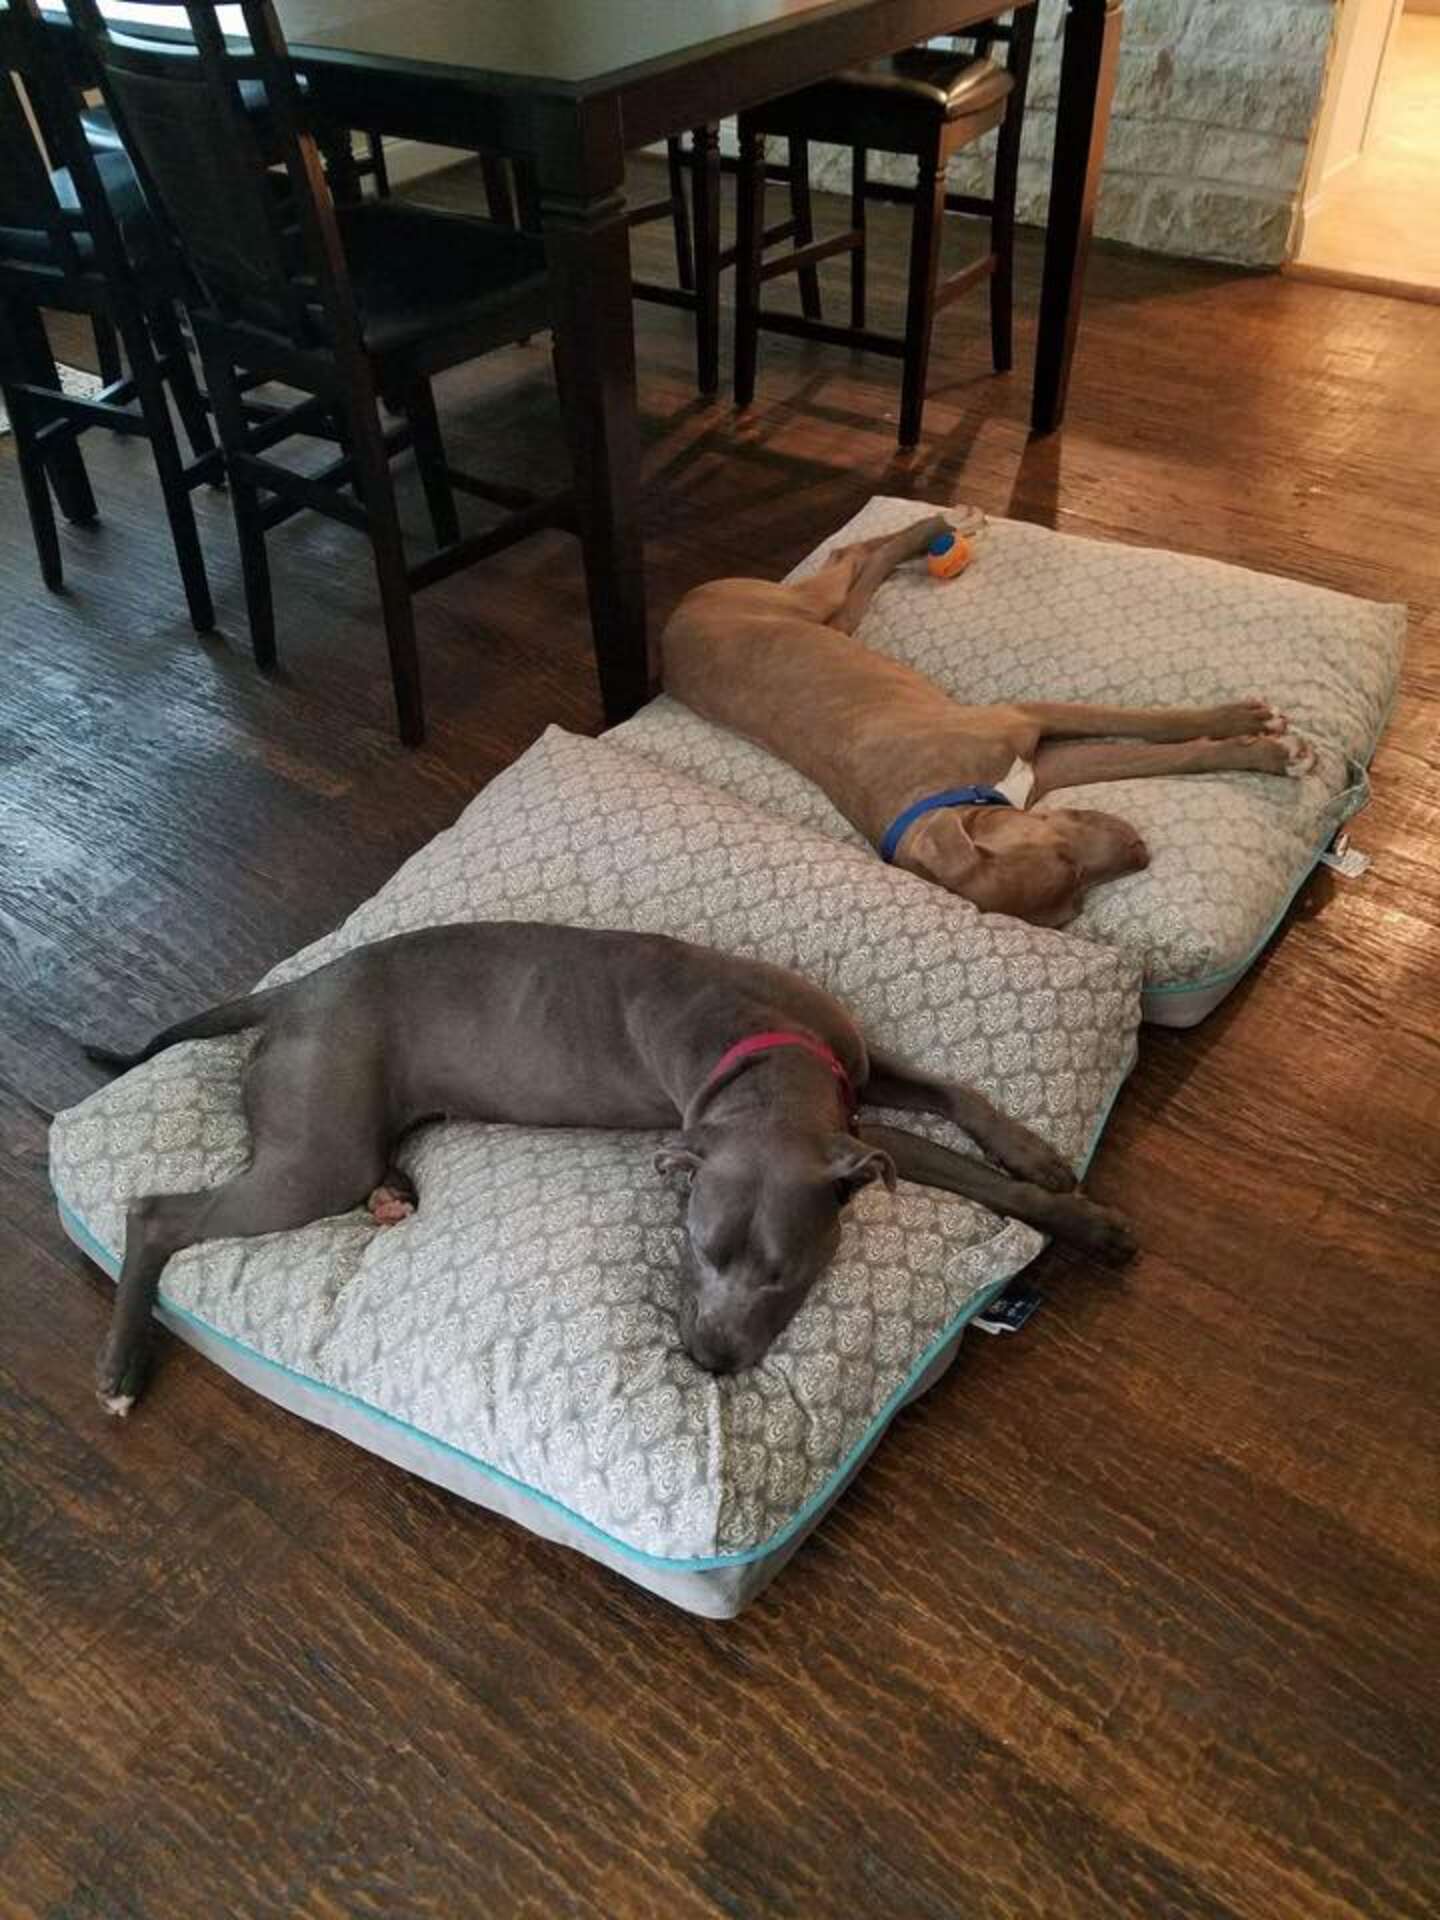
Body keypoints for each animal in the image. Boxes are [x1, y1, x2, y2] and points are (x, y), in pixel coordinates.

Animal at [87, 921, 1136, 1420]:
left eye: (783, 1276)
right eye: (694, 1244)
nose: (708, 1361)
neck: (766, 1059)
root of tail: (292, 988)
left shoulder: (862, 1069)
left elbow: (956, 1092)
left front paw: (1039, 1154)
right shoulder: (852, 1122)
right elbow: (962, 1168)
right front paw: (1086, 1222)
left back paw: (395, 1195)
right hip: (316, 1154)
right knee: (156, 1213)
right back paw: (121, 1366)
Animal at [664, 518, 1320, 921]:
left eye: (1068, 862)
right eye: (1073, 894)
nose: (1141, 852)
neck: (952, 798)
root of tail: (674, 621)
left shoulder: (1026, 718)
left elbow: (1157, 729)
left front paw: (1254, 728)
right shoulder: (1049, 765)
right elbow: (1165, 753)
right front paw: (1268, 747)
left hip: (801, 607)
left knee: (850, 556)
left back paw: (936, 526)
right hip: (827, 622)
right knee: (852, 563)